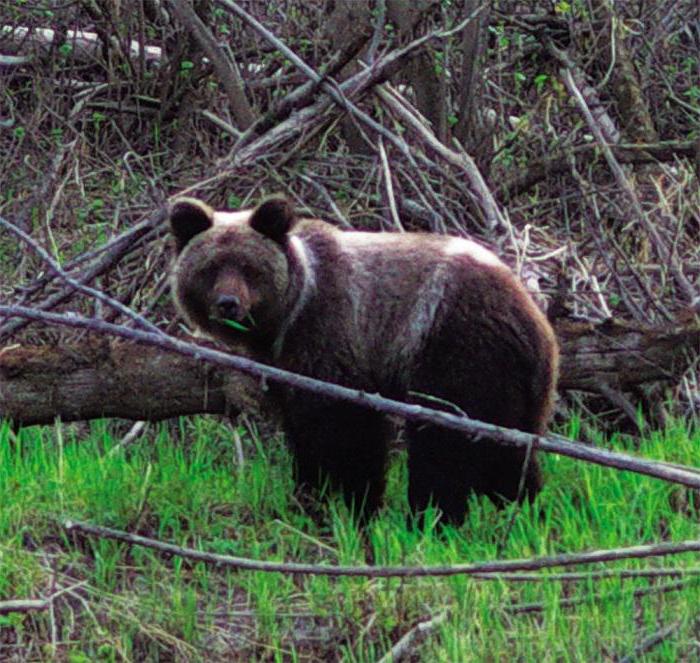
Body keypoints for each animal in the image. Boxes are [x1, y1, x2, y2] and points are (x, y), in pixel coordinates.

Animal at [168, 196, 556, 524]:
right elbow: (302, 432)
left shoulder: (334, 337)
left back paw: (430, 519)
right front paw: (307, 498)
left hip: (454, 347)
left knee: (444, 446)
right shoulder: (286, 368)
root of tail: (536, 321)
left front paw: (359, 506)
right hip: (510, 384)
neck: (285, 321)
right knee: (507, 452)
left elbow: (349, 432)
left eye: (249, 267)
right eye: (210, 268)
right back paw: (528, 511)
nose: (228, 303)